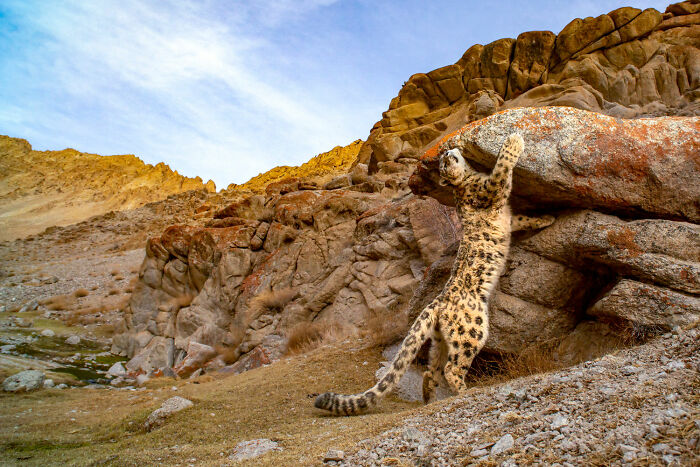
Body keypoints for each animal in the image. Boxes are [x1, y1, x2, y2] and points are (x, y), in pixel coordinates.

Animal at [314, 133, 554, 415]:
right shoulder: (490, 189)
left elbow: (522, 219)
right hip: (471, 330)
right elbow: (502, 167)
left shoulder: (508, 216)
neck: (468, 180)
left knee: (433, 369)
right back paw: (465, 391)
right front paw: (514, 140)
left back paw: (429, 397)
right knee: (452, 368)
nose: (447, 151)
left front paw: (546, 218)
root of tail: (437, 302)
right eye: (444, 163)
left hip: (441, 340)